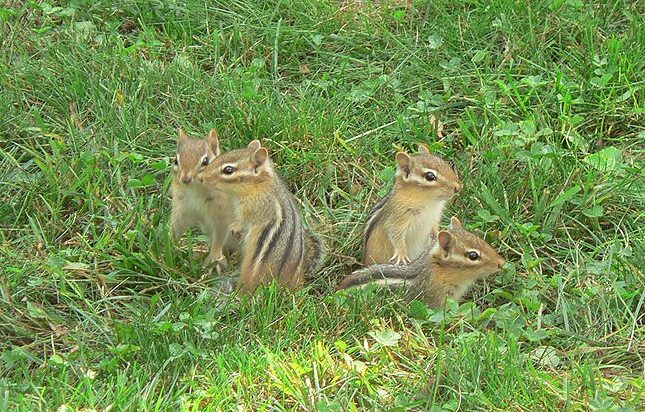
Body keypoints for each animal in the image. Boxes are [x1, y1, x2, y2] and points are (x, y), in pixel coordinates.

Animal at [169, 129, 236, 272]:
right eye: (176, 161)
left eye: (205, 161)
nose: (185, 178)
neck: (195, 192)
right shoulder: (181, 209)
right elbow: (176, 227)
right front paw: (166, 247)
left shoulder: (222, 213)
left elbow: (220, 235)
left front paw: (215, 258)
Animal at [196, 140, 325, 295]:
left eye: (228, 170)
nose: (200, 177)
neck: (260, 184)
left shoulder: (252, 208)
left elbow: (244, 222)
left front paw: (235, 226)